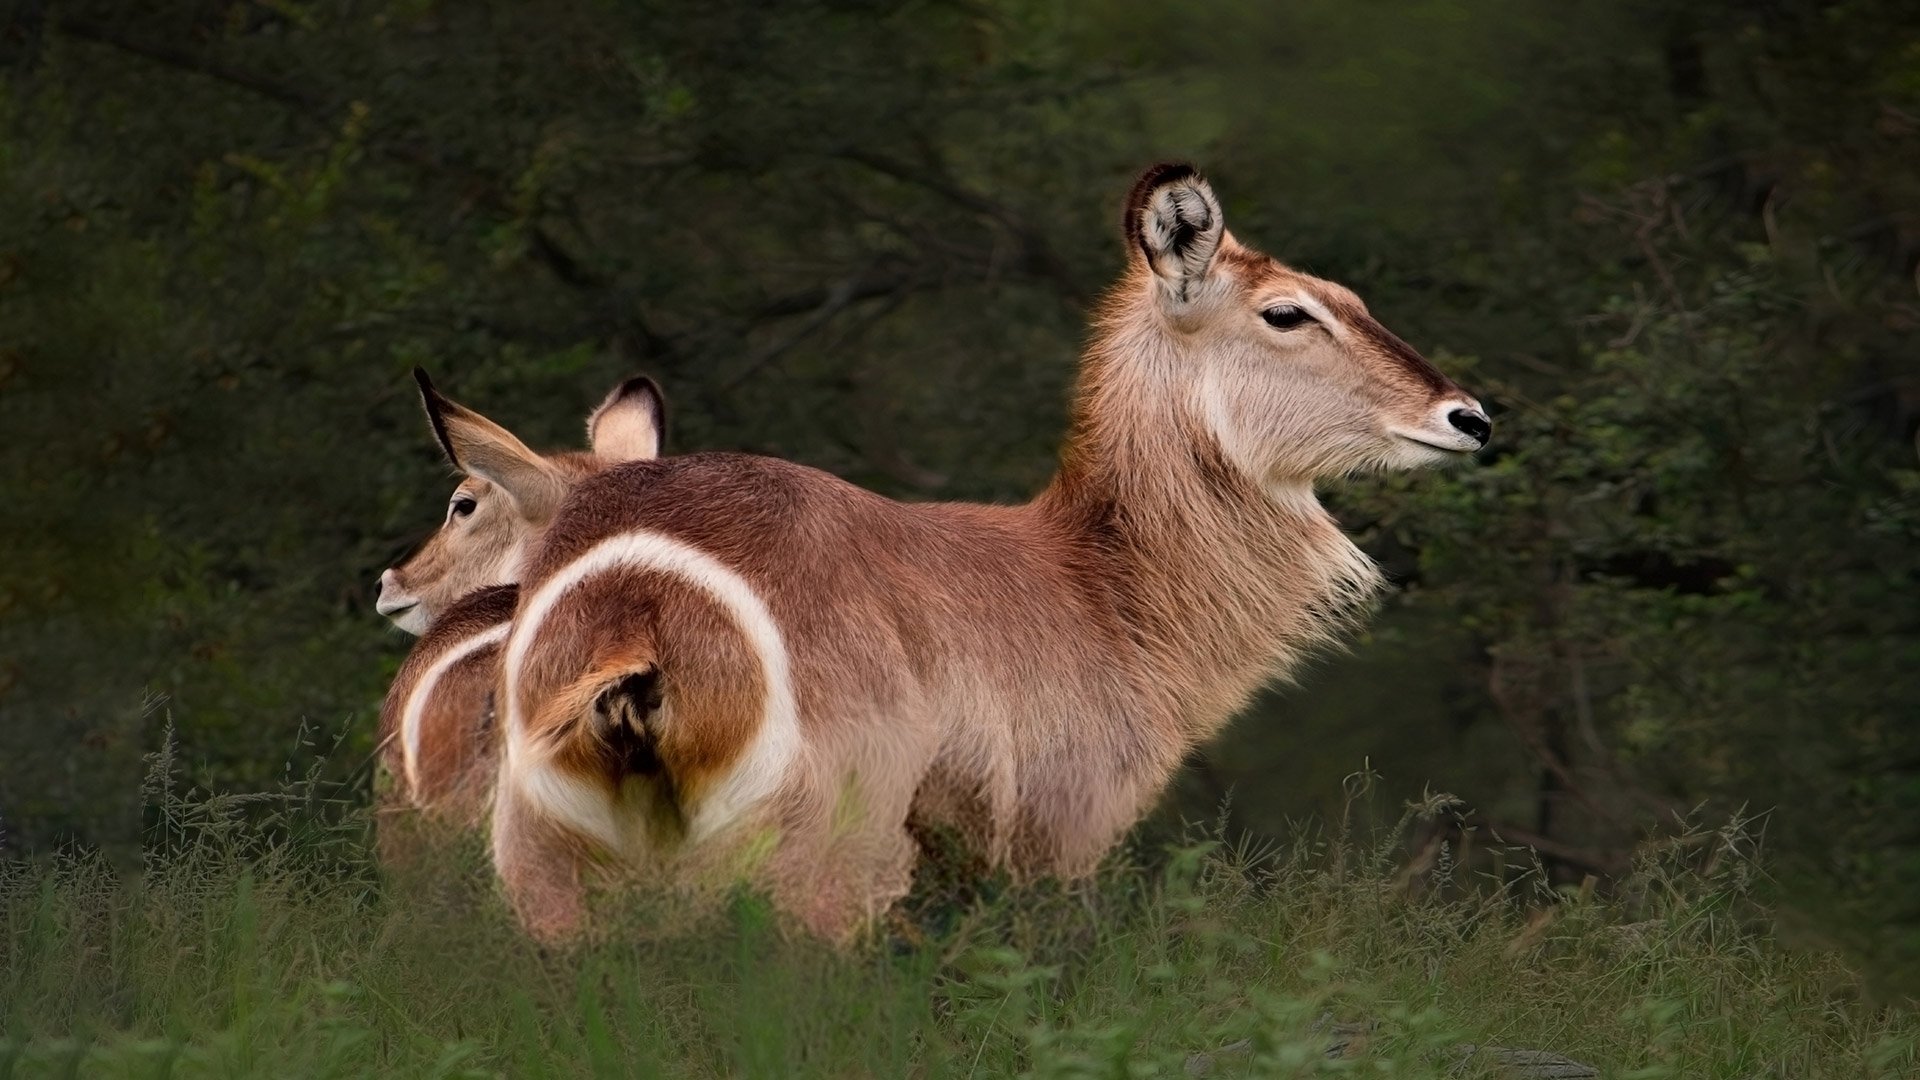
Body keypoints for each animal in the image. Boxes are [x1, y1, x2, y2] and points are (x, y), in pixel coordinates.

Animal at [488, 163, 1493, 941]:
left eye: (1354, 302)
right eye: (1287, 313)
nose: (1469, 418)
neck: (1098, 583)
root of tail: (643, 598)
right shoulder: (1061, 841)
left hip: (549, 867)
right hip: (817, 863)